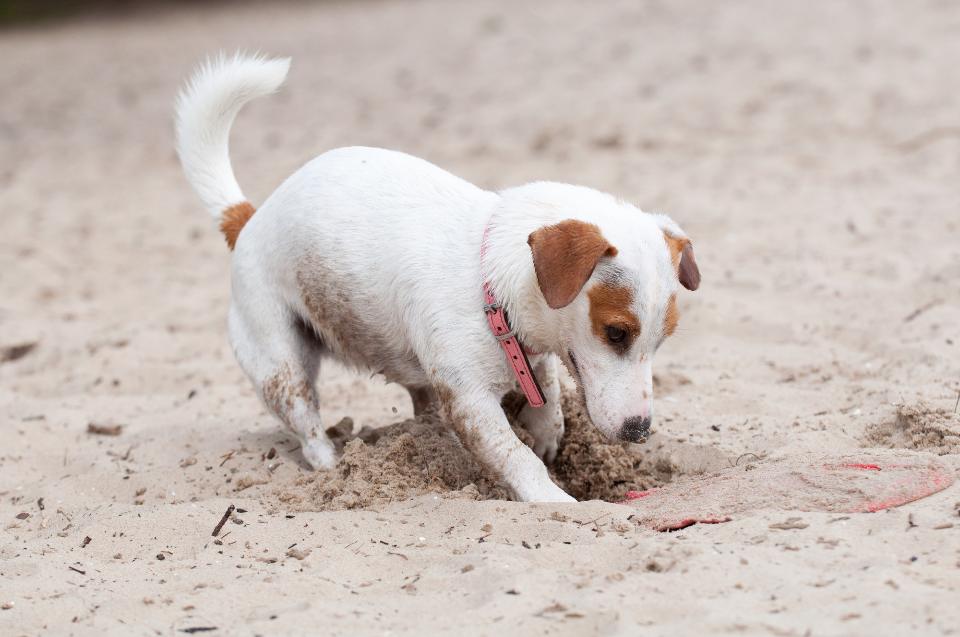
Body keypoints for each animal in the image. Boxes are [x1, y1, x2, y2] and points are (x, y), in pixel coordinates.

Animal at [174, 53, 696, 502]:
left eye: (662, 339)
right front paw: (556, 499)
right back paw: (333, 466)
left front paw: (548, 434)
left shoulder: (533, 360)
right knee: (307, 424)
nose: (639, 432)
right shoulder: (470, 402)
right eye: (616, 332)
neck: (489, 285)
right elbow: (516, 456)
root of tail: (249, 218)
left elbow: (548, 401)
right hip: (280, 364)